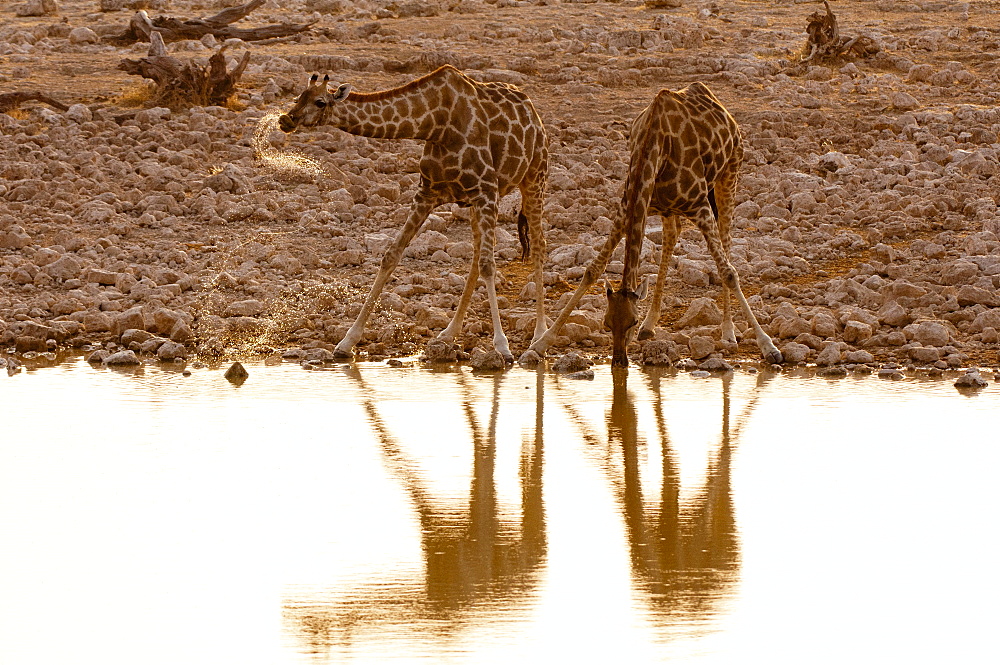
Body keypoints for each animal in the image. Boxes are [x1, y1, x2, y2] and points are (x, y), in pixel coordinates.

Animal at [278, 65, 552, 360]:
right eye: (298, 96)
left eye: (320, 102)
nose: (285, 120)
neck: (435, 125)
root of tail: (534, 113)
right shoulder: (428, 194)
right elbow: (391, 255)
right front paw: (347, 341)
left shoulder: (486, 191)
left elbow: (489, 266)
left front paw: (502, 346)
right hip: (479, 203)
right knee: (476, 256)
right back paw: (448, 334)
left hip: (534, 178)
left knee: (537, 246)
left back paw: (539, 336)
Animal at [524, 81, 780, 368]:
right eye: (606, 323)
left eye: (631, 322)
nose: (619, 361)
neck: (654, 145)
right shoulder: (628, 207)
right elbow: (592, 270)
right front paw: (539, 345)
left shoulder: (700, 206)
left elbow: (728, 272)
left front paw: (769, 347)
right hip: (670, 209)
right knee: (671, 236)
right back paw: (652, 325)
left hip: (729, 175)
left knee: (725, 241)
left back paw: (728, 332)